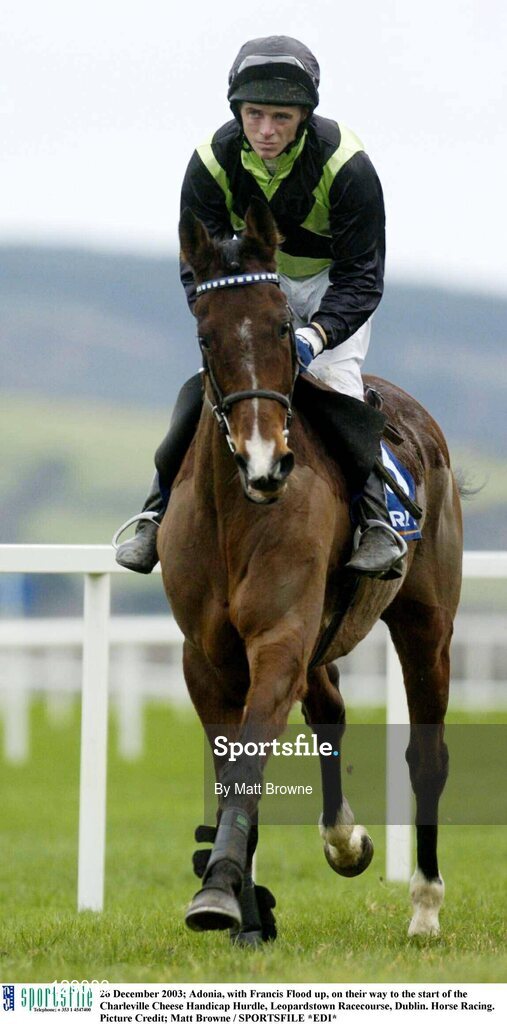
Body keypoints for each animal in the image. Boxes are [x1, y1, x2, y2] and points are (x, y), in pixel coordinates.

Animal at [157, 199, 463, 943]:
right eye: (206, 336)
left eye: (279, 326)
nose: (265, 462)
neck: (235, 513)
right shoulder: (205, 656)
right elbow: (233, 765)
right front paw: (243, 906)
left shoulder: (277, 638)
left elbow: (251, 756)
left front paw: (219, 891)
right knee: (329, 709)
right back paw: (344, 841)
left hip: (425, 624)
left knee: (426, 758)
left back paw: (423, 907)